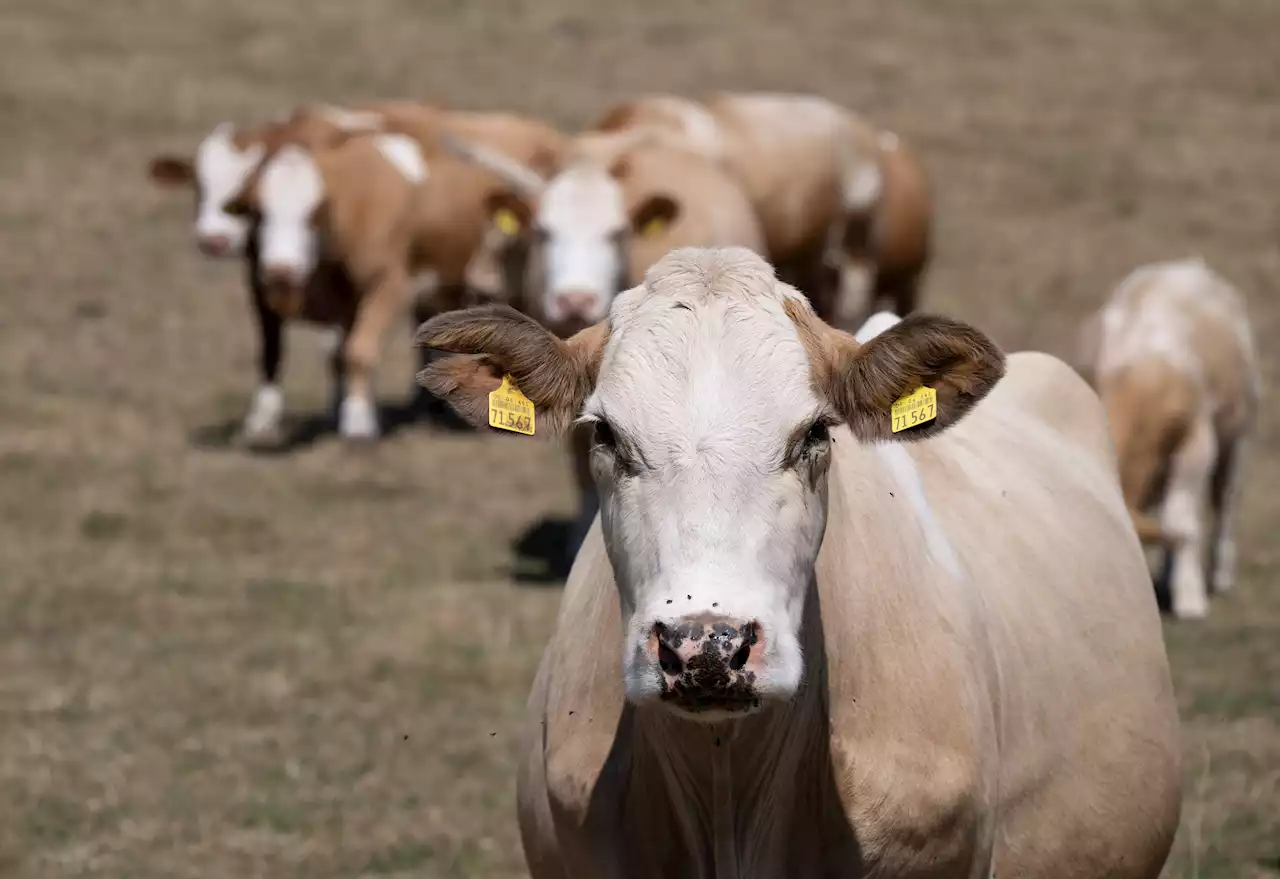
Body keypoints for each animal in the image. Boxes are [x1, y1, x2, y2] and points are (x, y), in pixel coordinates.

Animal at [222, 106, 568, 442]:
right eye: (257, 211)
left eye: (316, 212)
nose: (281, 271)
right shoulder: (263, 287)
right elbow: (278, 353)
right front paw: (263, 423)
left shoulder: (388, 284)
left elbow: (357, 351)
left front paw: (358, 424)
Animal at [1080, 255, 1259, 619]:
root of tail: (1184, 266)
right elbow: (1173, 523)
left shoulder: (1198, 445)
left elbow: (1183, 520)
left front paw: (1190, 598)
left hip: (1237, 430)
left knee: (1224, 500)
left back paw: (1219, 574)